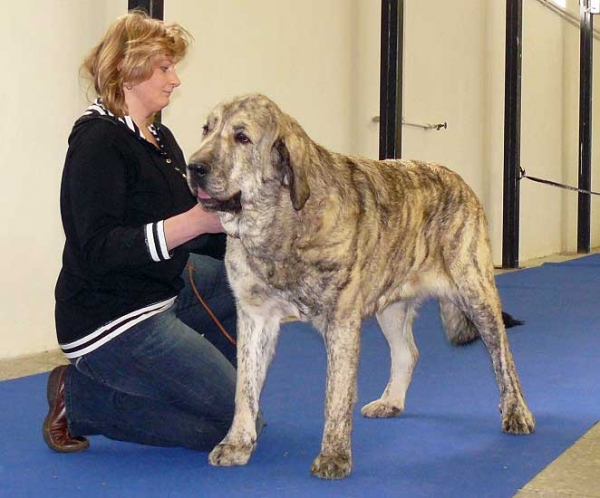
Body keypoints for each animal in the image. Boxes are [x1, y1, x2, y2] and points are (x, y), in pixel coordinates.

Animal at [188, 92, 536, 478]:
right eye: (206, 129)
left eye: (242, 137)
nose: (194, 167)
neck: (282, 223)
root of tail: (457, 179)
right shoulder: (255, 319)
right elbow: (244, 388)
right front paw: (237, 443)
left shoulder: (340, 323)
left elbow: (336, 395)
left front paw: (334, 455)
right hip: (391, 306)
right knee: (408, 353)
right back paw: (391, 401)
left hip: (476, 293)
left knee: (503, 355)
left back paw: (517, 411)